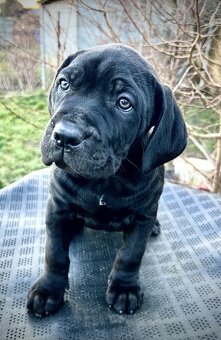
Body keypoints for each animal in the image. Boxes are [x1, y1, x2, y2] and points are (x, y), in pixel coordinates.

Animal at [26, 43, 187, 318]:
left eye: (124, 103)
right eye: (64, 84)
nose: (65, 136)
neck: (104, 182)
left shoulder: (142, 216)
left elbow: (130, 255)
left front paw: (124, 288)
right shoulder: (57, 208)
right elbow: (55, 253)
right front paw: (48, 290)